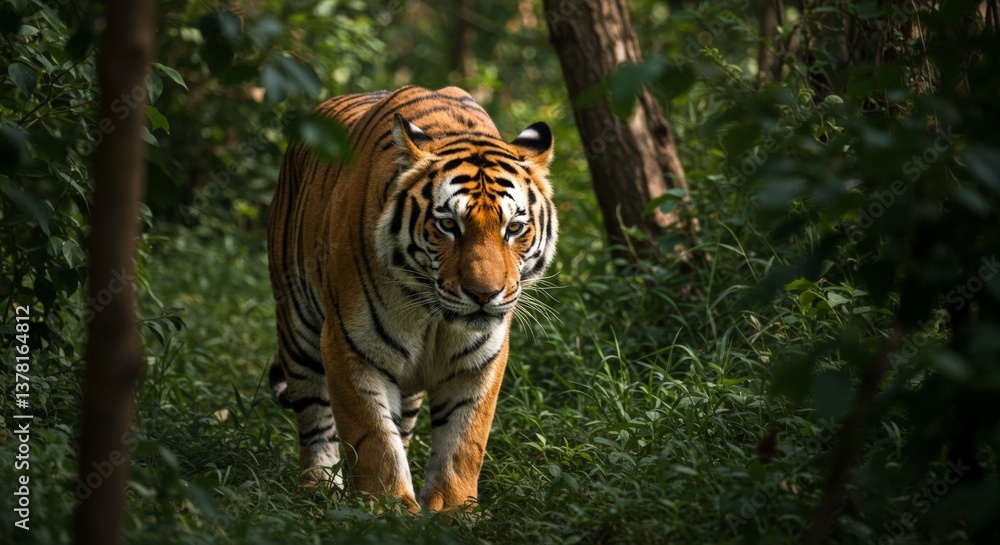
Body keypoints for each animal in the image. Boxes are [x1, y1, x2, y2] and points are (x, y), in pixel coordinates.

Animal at [265, 85, 557, 512]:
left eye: (515, 228)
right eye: (448, 225)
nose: (484, 294)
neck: (434, 316)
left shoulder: (481, 360)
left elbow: (463, 441)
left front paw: (452, 510)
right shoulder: (350, 346)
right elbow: (372, 438)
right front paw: (387, 509)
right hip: (298, 328)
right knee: (315, 419)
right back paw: (318, 488)